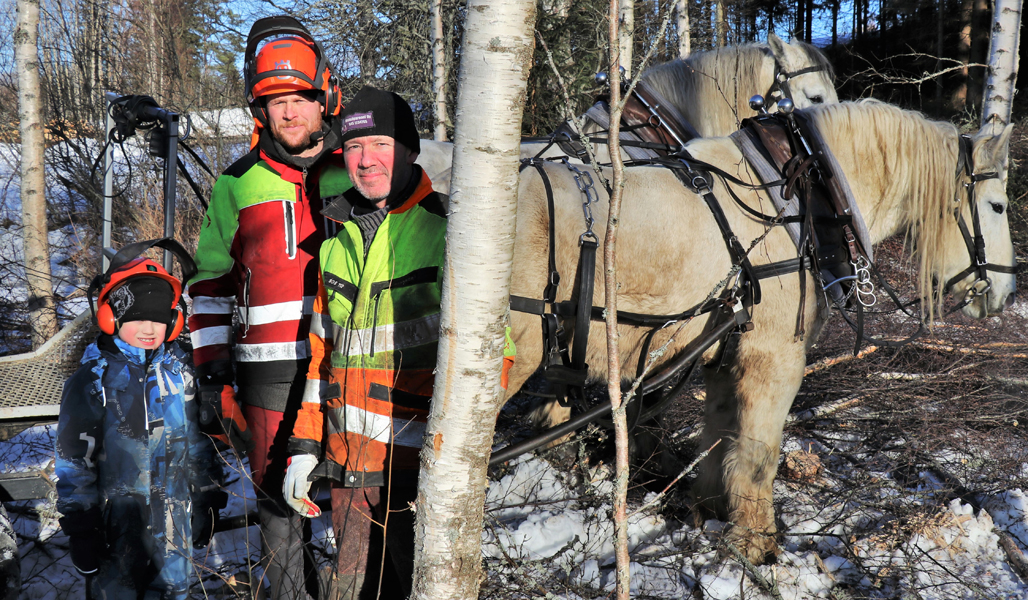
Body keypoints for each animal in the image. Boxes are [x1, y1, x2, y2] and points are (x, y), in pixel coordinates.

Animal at [501, 100, 1015, 563]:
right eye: (997, 205)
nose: (1007, 293)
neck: (796, 207)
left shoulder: (724, 354)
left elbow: (720, 438)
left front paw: (710, 511)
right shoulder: (775, 358)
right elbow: (758, 455)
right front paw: (756, 544)